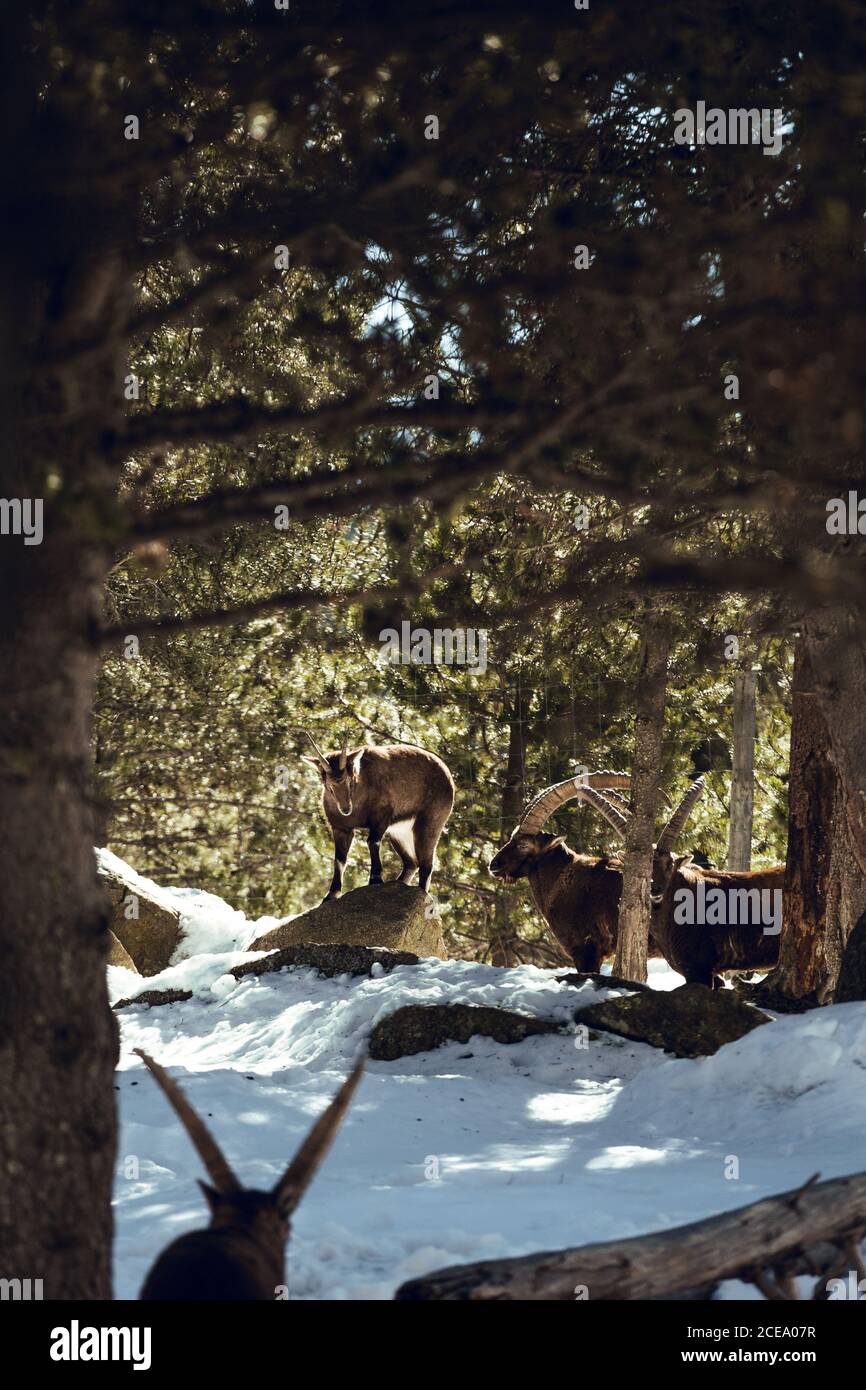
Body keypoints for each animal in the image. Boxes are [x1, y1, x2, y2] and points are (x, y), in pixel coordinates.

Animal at [301, 733, 453, 895]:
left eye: (350, 780)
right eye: (328, 785)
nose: (345, 809)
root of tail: (448, 776)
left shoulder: (381, 818)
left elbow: (372, 842)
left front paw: (375, 878)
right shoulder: (340, 828)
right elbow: (340, 859)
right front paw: (331, 894)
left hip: (429, 821)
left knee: (426, 864)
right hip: (399, 832)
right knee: (412, 863)